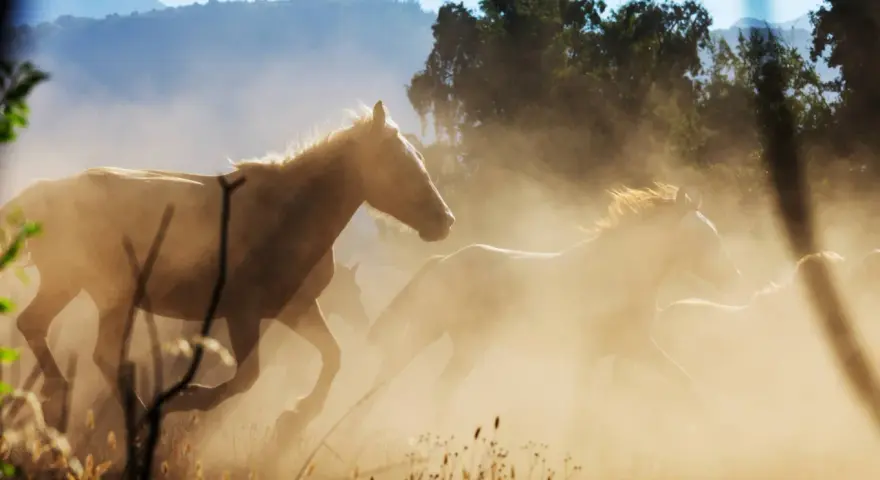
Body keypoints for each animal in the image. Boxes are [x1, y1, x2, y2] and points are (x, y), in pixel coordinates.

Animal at [3, 100, 454, 435]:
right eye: (398, 164)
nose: (445, 221)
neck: (288, 216)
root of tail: (43, 196)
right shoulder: (242, 314)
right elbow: (246, 377)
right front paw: (185, 399)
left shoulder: (296, 309)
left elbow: (333, 355)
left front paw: (298, 414)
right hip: (106, 294)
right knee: (98, 352)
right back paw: (124, 411)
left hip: (73, 286)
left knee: (38, 327)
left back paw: (61, 396)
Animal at [364, 183, 742, 429]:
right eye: (704, 237)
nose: (735, 278)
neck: (618, 275)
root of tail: (443, 261)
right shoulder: (589, 353)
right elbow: (581, 410)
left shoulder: (637, 347)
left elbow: (686, 381)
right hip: (429, 330)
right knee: (388, 377)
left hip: (466, 346)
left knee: (435, 387)